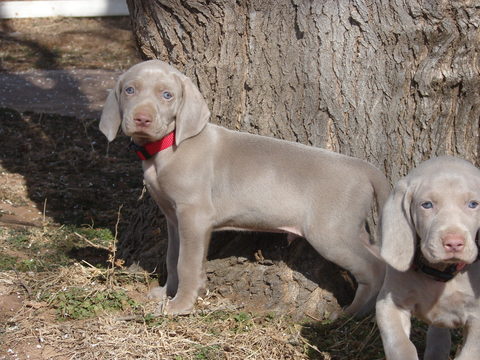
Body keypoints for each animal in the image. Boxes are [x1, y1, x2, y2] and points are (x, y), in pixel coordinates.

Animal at [100, 59, 390, 316]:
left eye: (167, 95)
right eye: (129, 90)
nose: (142, 119)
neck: (167, 145)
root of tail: (364, 167)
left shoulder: (194, 215)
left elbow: (186, 263)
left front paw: (180, 305)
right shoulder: (174, 217)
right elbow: (173, 257)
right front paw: (168, 293)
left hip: (330, 232)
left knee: (373, 269)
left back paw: (353, 313)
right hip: (351, 228)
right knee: (378, 257)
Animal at [376, 157, 480, 360]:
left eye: (473, 204)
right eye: (427, 205)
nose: (454, 243)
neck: (441, 272)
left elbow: (469, 355)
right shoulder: (389, 305)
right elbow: (401, 346)